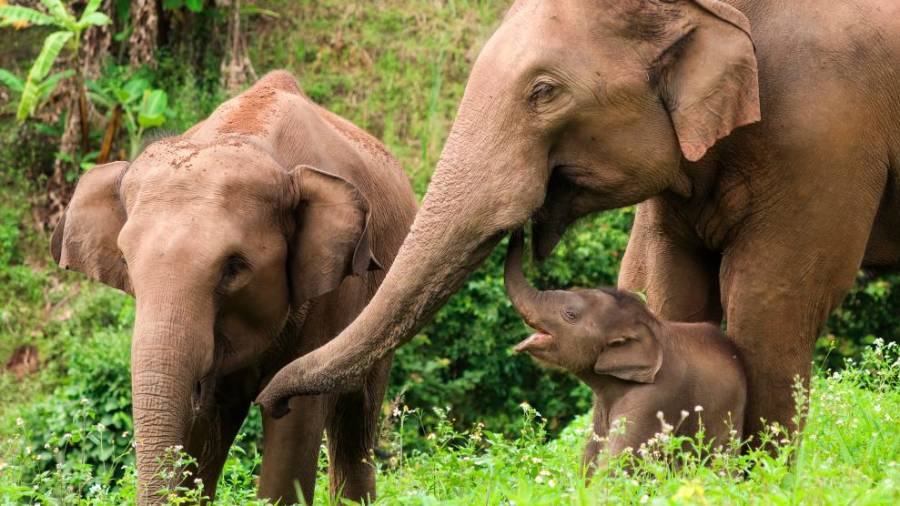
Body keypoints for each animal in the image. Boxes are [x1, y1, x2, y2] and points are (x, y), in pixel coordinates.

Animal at [54, 71, 420, 506]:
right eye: (126, 263)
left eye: (233, 268)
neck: (249, 135)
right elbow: (204, 430)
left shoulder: (333, 292)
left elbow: (295, 425)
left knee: (355, 422)